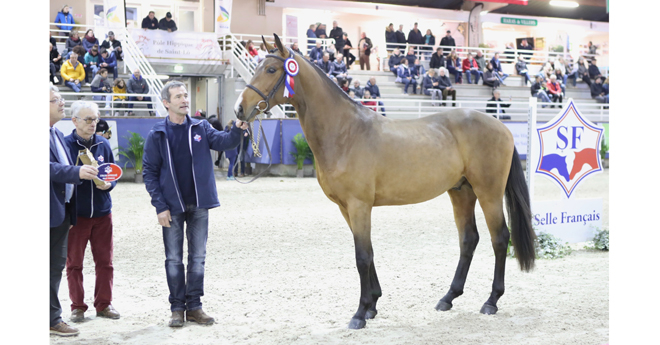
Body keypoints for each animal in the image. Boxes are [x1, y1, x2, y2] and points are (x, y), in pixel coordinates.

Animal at [235, 34, 532, 328]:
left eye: (271, 69)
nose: (240, 109)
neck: (345, 132)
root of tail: (502, 127)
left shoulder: (359, 205)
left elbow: (362, 257)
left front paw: (359, 313)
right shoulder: (346, 208)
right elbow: (368, 252)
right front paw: (372, 305)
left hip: (488, 193)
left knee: (500, 238)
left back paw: (491, 301)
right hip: (461, 192)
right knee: (469, 239)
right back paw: (448, 298)